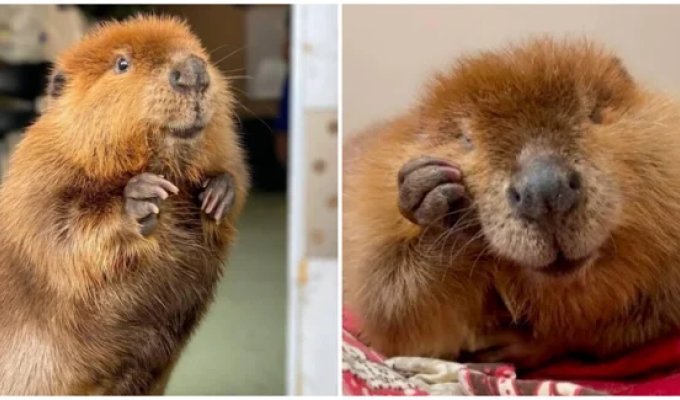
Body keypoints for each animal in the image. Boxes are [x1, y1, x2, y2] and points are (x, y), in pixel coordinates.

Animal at [0, 14, 250, 394]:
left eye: (198, 49)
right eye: (122, 64)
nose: (193, 71)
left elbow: (233, 172)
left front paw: (218, 192)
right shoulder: (36, 181)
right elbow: (60, 233)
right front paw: (143, 196)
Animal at [346, 36, 680, 368]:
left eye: (594, 113)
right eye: (465, 138)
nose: (545, 189)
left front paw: (518, 344)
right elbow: (393, 315)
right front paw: (431, 191)